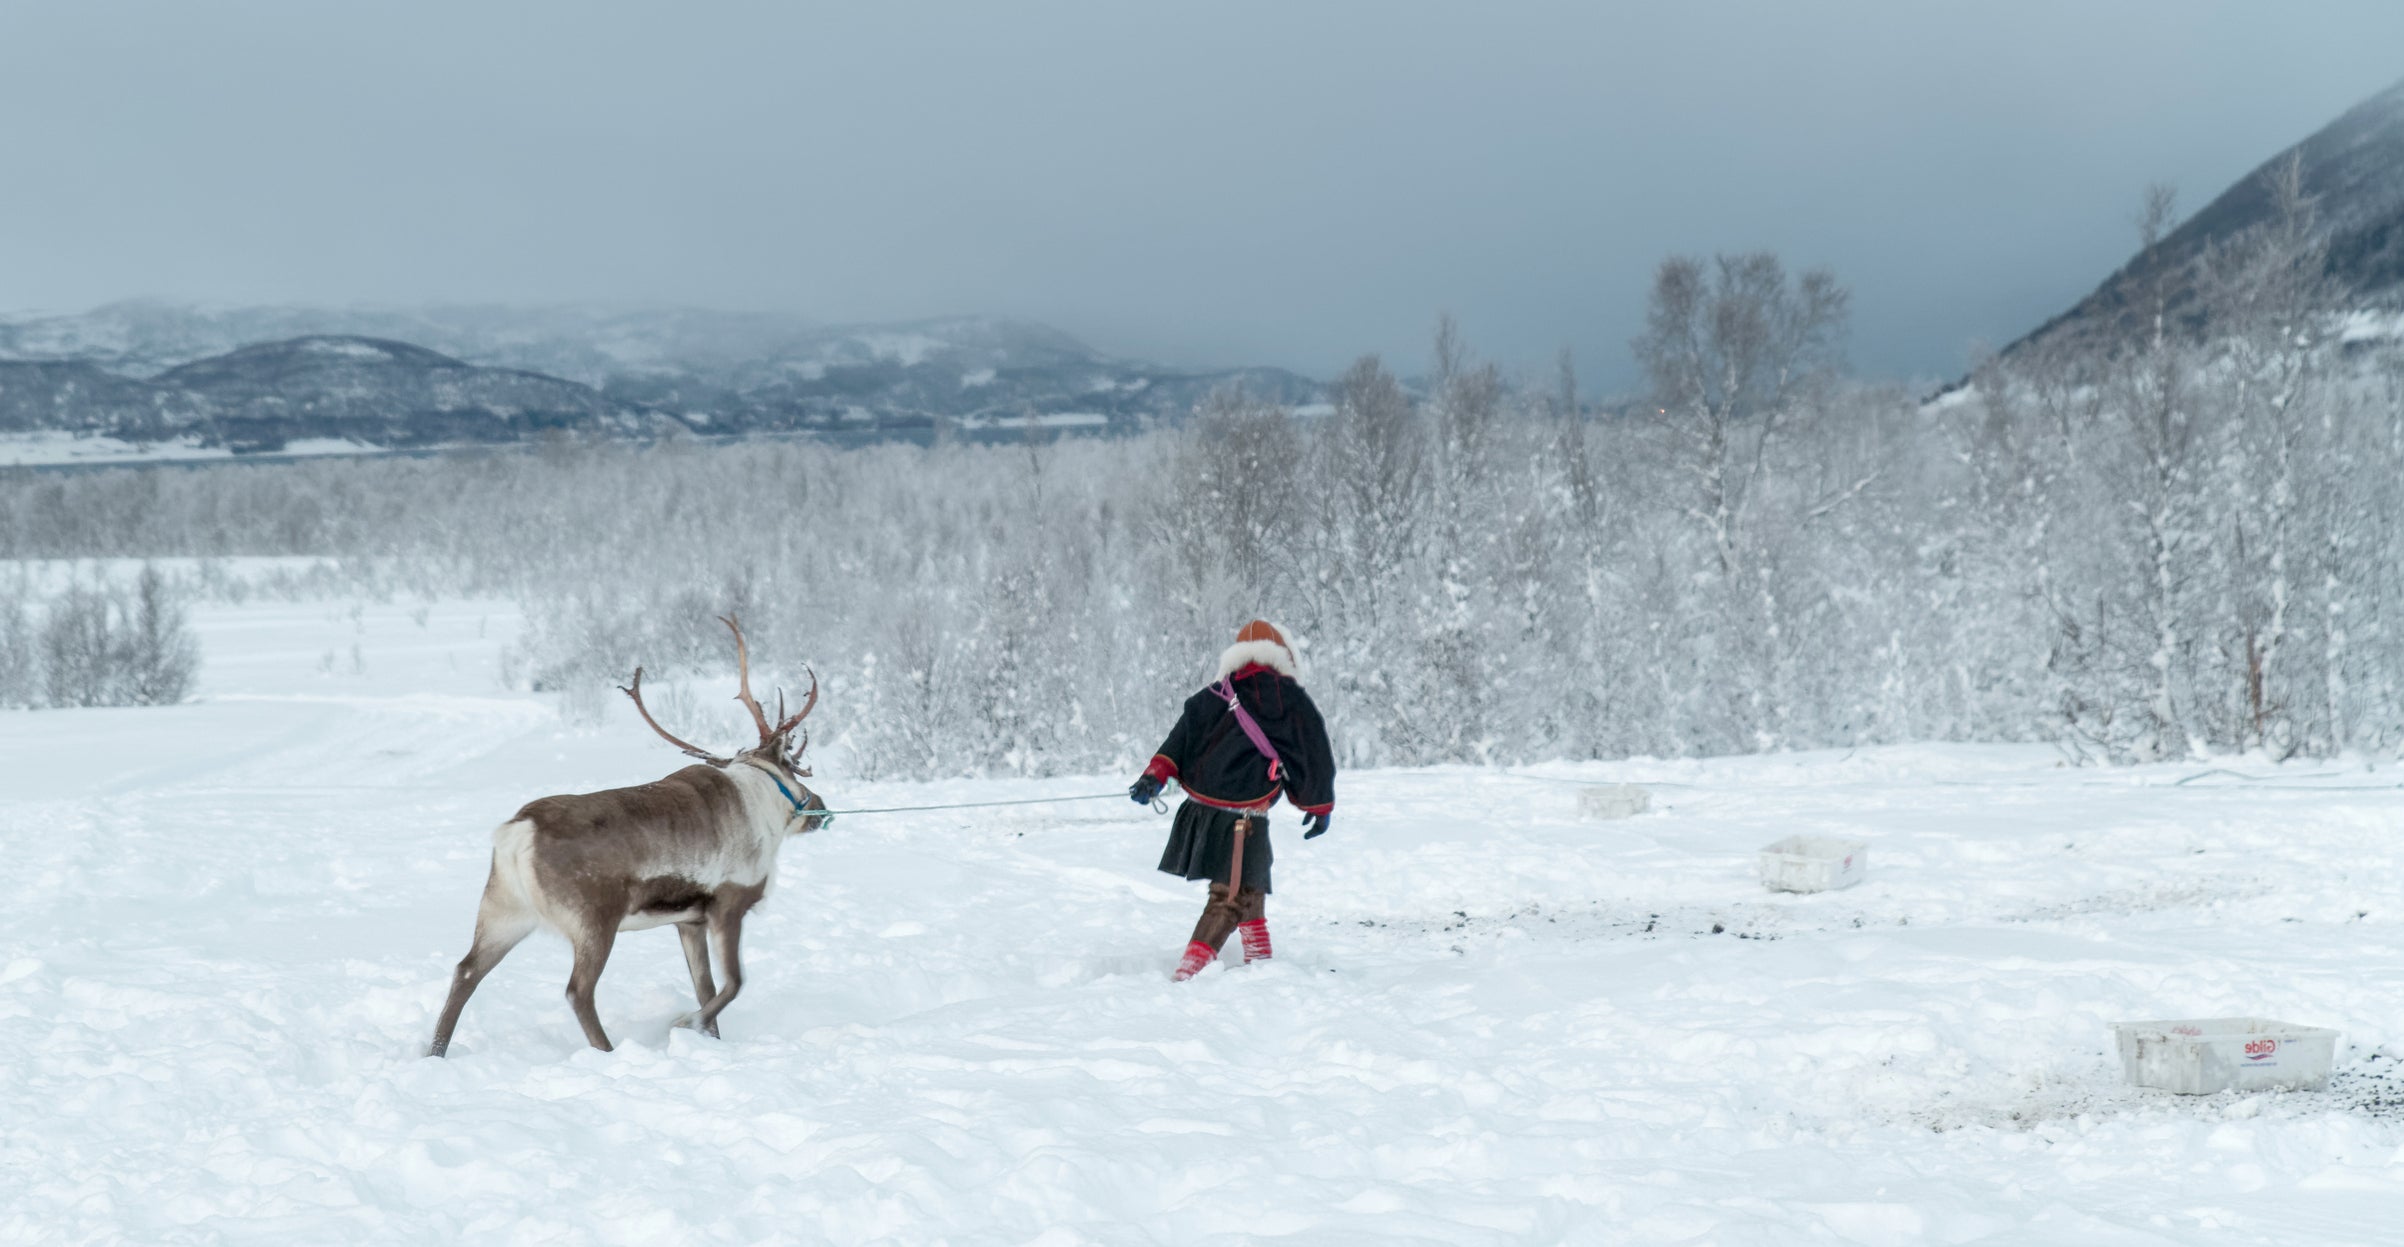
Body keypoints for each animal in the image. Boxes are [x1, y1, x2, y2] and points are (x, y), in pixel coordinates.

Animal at [428, 616, 827, 1057]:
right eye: (794, 765)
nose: (819, 805)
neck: (761, 798)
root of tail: (518, 832)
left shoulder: (689, 919)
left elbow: (705, 987)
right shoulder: (730, 902)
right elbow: (733, 984)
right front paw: (684, 1022)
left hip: (503, 910)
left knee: (466, 971)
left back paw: (435, 1054)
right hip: (594, 919)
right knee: (578, 991)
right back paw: (607, 1051)